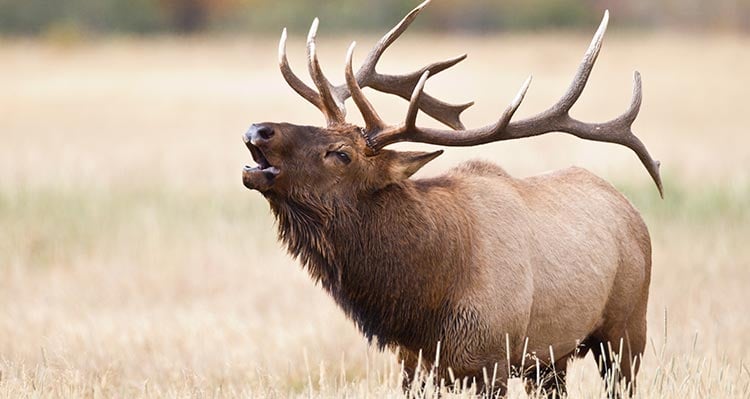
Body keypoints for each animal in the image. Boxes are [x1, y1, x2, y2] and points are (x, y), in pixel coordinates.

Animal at [242, 0, 664, 396]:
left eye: (342, 154)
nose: (258, 129)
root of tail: (631, 211)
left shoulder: (493, 358)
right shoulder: (413, 364)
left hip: (627, 330)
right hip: (550, 358)